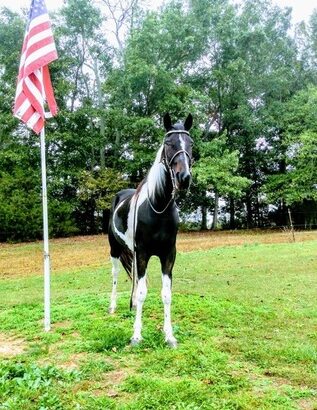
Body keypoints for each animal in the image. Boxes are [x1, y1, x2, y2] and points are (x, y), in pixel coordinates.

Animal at [108, 111, 193, 346]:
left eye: (190, 143)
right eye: (169, 143)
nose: (184, 178)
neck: (158, 207)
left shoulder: (168, 255)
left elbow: (166, 294)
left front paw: (169, 335)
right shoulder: (144, 253)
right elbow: (142, 292)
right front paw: (136, 335)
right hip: (115, 250)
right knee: (116, 274)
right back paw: (112, 306)